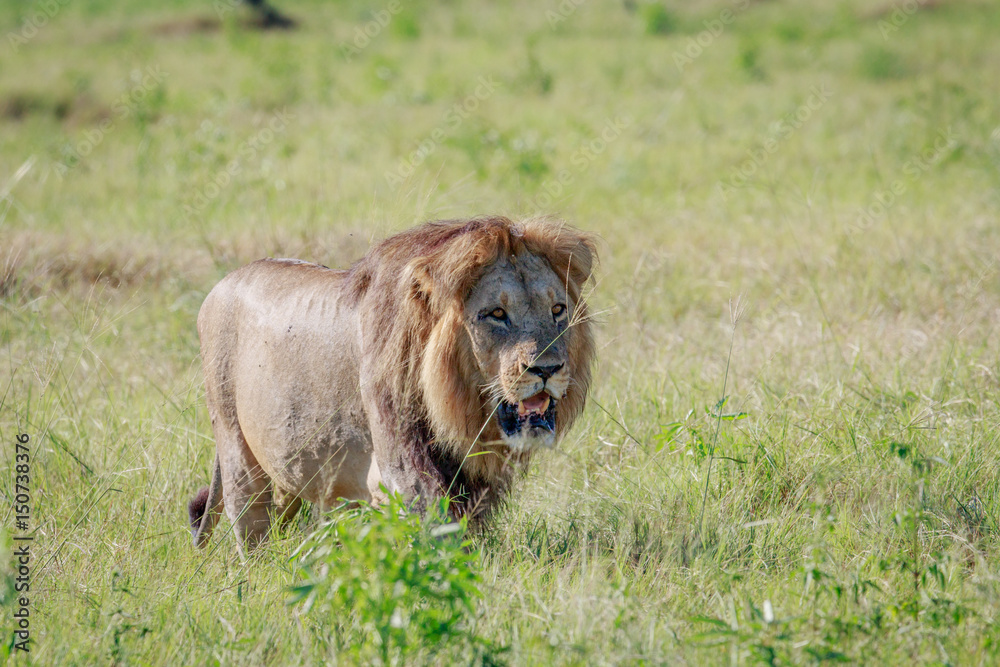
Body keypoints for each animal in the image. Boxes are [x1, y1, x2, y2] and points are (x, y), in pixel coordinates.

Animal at [187, 216, 597, 556]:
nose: (547, 369)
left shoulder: (469, 480)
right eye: (496, 314)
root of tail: (221, 283)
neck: (457, 409)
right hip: (236, 448)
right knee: (249, 527)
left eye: (557, 310)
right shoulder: (403, 469)